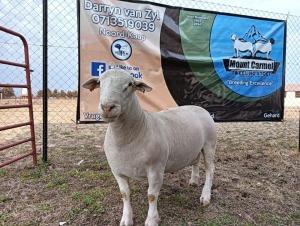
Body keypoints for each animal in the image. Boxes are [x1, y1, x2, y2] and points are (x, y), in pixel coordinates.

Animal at [82, 69, 218, 226]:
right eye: (99, 82)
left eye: (130, 84)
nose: (107, 107)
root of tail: (199, 108)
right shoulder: (117, 171)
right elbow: (124, 194)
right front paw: (126, 219)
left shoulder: (156, 169)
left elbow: (152, 196)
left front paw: (152, 220)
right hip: (196, 147)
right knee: (196, 161)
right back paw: (194, 181)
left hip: (209, 143)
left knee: (210, 169)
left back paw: (205, 196)